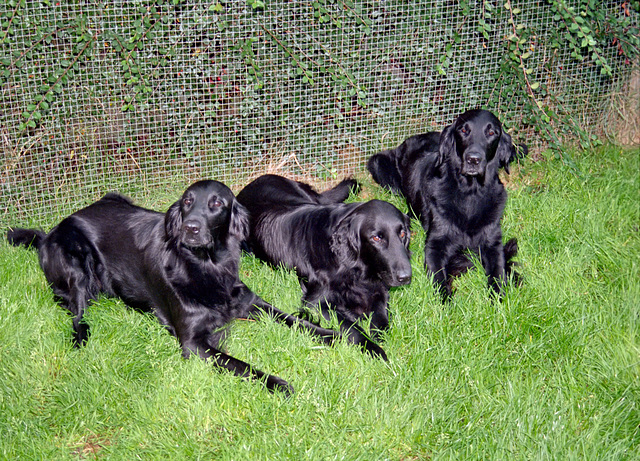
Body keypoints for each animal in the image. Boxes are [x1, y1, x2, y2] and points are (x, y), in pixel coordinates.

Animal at [238, 173, 412, 360]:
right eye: (376, 238)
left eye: (402, 233)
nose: (405, 277)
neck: (355, 270)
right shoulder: (316, 303)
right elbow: (350, 325)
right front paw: (372, 347)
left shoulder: (380, 291)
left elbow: (380, 317)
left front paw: (381, 337)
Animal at [364, 110, 524, 300]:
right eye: (463, 130)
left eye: (492, 132)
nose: (473, 159)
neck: (470, 193)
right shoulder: (435, 246)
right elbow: (439, 280)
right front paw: (447, 302)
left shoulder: (493, 243)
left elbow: (498, 274)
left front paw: (499, 300)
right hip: (379, 165)